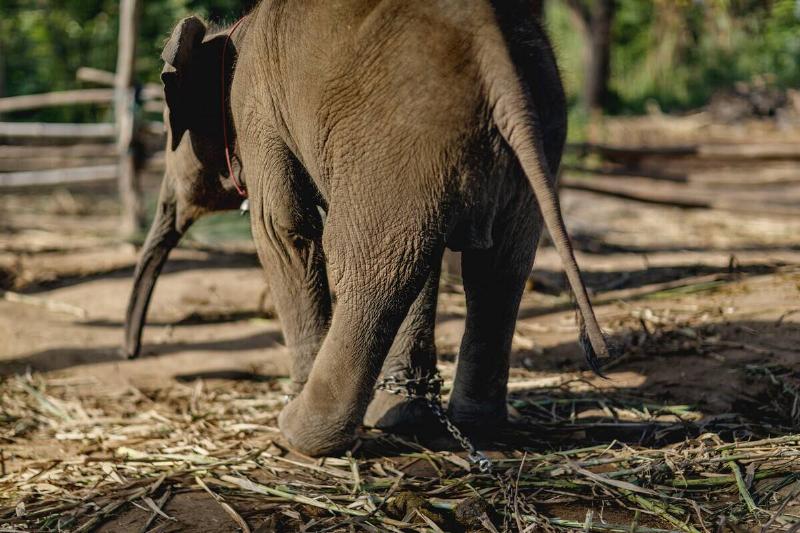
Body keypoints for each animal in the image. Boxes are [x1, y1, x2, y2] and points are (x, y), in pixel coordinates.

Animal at [123, 0, 610, 456]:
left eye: (165, 132)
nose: (131, 353)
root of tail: (494, 54)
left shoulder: (256, 110)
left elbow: (282, 232)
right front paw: (403, 413)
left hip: (398, 139)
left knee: (368, 271)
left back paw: (299, 432)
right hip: (508, 146)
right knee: (494, 271)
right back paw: (467, 426)